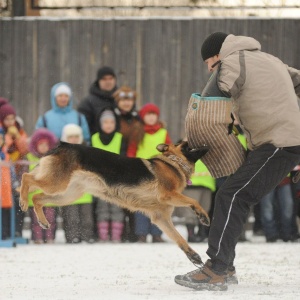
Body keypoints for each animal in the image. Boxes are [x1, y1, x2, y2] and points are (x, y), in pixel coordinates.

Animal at [19, 142, 209, 264]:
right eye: (186, 144)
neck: (172, 163)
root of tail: (61, 145)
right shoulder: (168, 195)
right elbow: (192, 201)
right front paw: (203, 215)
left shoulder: (161, 218)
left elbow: (179, 239)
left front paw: (193, 255)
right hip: (56, 184)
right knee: (26, 178)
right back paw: (22, 200)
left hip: (65, 195)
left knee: (37, 198)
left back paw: (42, 220)